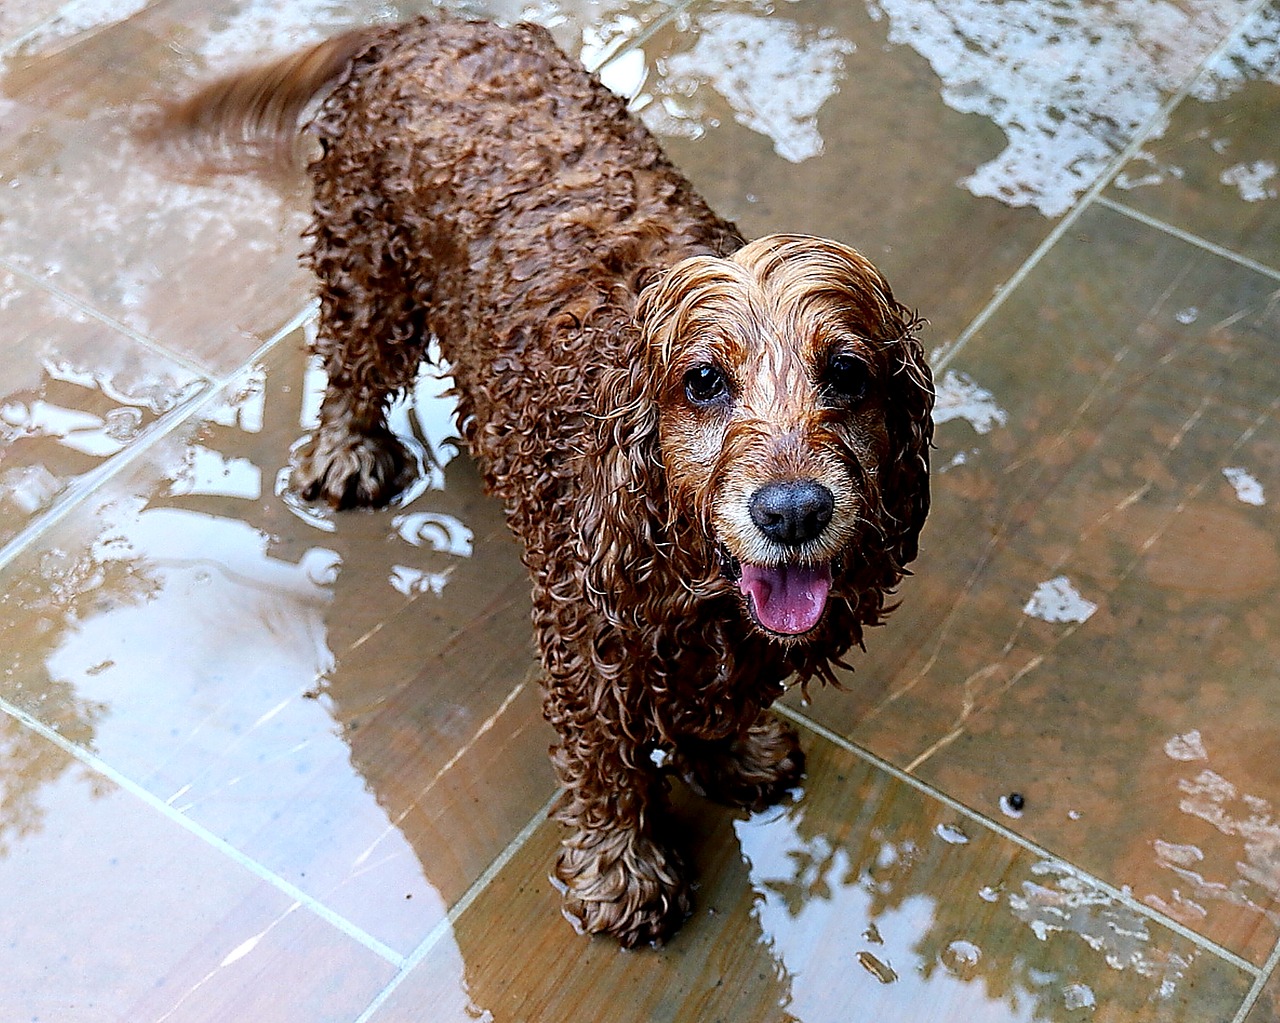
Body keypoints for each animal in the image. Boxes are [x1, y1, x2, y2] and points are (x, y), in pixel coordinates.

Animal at [162, 16, 942, 947]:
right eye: (704, 381)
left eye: (848, 373)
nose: (793, 511)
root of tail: (423, 23)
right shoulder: (587, 633)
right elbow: (604, 760)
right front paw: (623, 873)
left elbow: (721, 698)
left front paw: (732, 755)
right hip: (365, 255)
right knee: (355, 361)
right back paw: (347, 452)